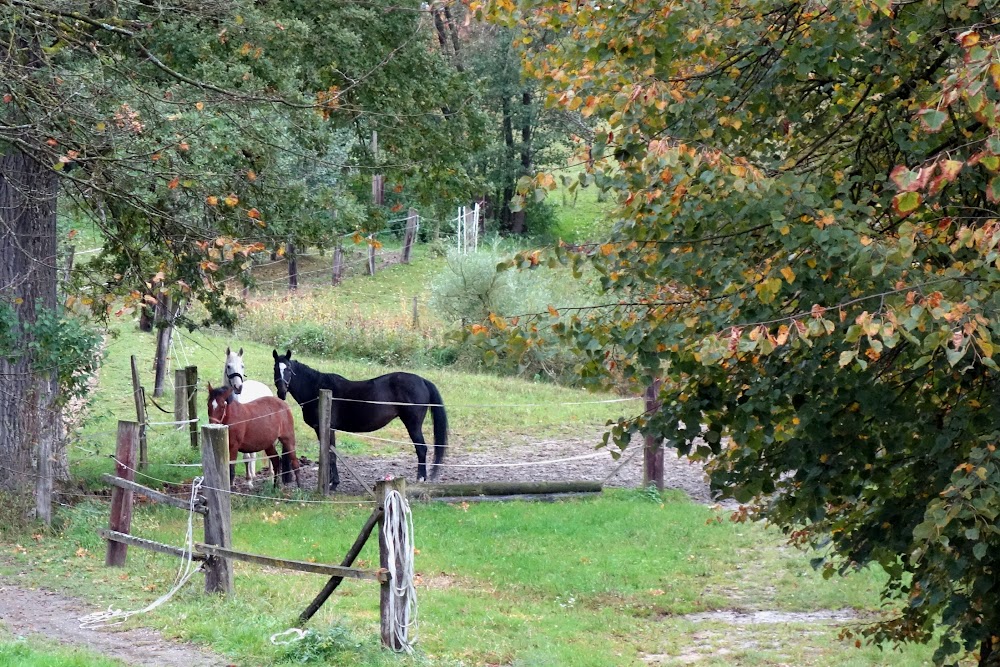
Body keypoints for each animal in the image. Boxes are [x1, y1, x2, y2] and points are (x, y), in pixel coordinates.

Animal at [224, 348, 276, 482]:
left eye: (242, 366)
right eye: (228, 366)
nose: (238, 387)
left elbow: (246, 457)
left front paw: (248, 480)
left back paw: (271, 475)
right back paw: (253, 474)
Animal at [272, 350, 448, 490]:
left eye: (288, 369)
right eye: (275, 369)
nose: (281, 392)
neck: (317, 388)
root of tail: (422, 380)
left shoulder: (327, 428)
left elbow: (331, 454)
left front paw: (333, 484)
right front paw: (332, 482)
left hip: (413, 424)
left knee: (421, 449)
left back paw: (421, 478)